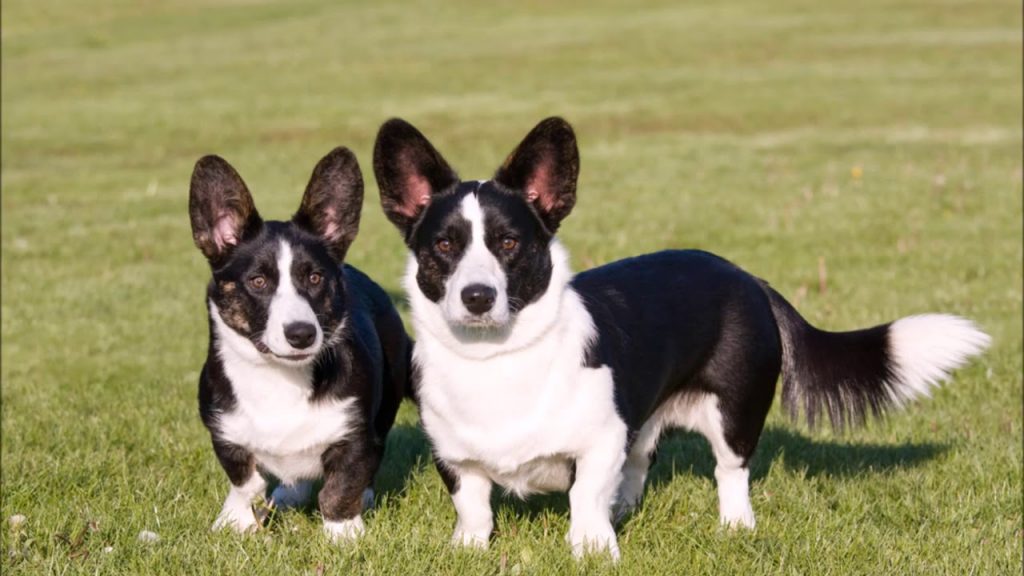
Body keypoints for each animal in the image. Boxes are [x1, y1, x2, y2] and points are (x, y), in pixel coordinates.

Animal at [186, 145, 409, 541]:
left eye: (315, 277)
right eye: (258, 281)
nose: (302, 333)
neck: (278, 377)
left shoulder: (354, 435)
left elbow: (340, 487)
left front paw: (343, 534)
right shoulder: (224, 432)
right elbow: (246, 481)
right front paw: (236, 522)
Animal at [372, 117, 987, 557]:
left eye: (508, 243)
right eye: (444, 246)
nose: (477, 297)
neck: (497, 358)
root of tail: (748, 278)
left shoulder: (598, 442)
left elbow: (584, 497)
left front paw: (593, 549)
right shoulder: (456, 457)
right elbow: (474, 507)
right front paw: (469, 549)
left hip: (734, 411)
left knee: (730, 470)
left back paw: (736, 527)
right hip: (649, 417)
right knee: (640, 460)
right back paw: (627, 508)